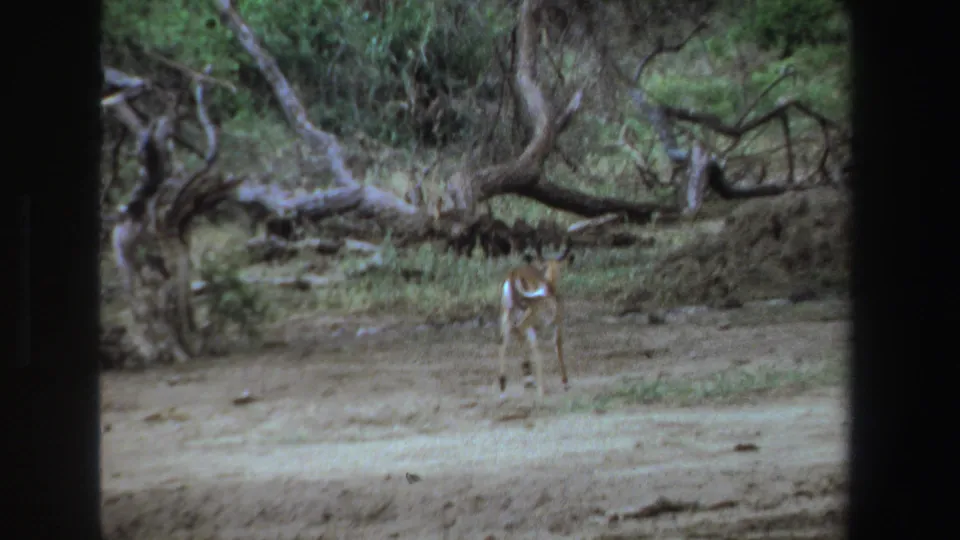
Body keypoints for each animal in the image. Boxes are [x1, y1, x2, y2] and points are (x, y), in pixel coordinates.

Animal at [498, 238, 575, 400]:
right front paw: (565, 382)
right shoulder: (557, 322)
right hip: (527, 318)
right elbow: (558, 345)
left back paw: (503, 388)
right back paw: (541, 388)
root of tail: (513, 275)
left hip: (506, 314)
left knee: (504, 341)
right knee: (526, 338)